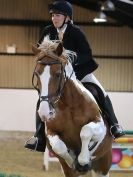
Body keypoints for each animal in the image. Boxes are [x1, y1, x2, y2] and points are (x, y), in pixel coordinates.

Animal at [32, 37, 112, 177]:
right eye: (37, 74)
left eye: (58, 74)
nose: (44, 112)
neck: (68, 105)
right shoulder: (51, 132)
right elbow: (59, 147)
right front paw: (73, 162)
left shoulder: (99, 125)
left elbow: (86, 131)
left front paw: (83, 160)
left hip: (103, 163)